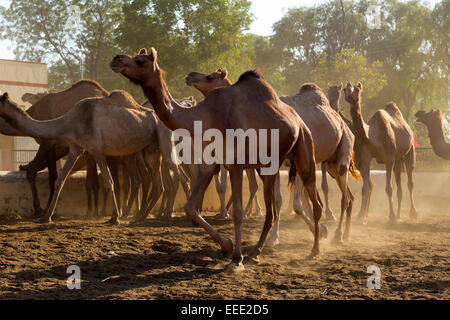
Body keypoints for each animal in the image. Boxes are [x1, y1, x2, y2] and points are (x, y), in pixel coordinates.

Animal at [110, 47, 324, 270]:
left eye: (140, 60)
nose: (117, 59)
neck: (207, 117)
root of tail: (297, 120)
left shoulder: (236, 164)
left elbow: (238, 212)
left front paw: (236, 259)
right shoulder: (210, 163)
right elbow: (189, 207)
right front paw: (227, 246)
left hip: (305, 148)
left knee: (315, 201)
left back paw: (314, 250)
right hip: (267, 166)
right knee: (272, 211)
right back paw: (256, 252)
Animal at [184, 70, 358, 244]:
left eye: (210, 77)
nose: (190, 76)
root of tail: (344, 124)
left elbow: (297, 204)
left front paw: (315, 230)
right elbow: (279, 200)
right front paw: (278, 235)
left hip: (343, 149)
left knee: (344, 195)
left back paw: (339, 234)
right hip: (330, 163)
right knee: (348, 195)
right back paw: (345, 233)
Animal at [344, 82, 418, 224]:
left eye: (357, 89)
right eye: (345, 88)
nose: (347, 90)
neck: (372, 135)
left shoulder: (388, 158)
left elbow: (388, 188)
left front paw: (391, 216)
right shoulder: (366, 157)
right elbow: (365, 188)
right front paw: (361, 217)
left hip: (410, 151)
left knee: (410, 182)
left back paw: (412, 213)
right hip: (398, 159)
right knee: (399, 185)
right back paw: (399, 215)